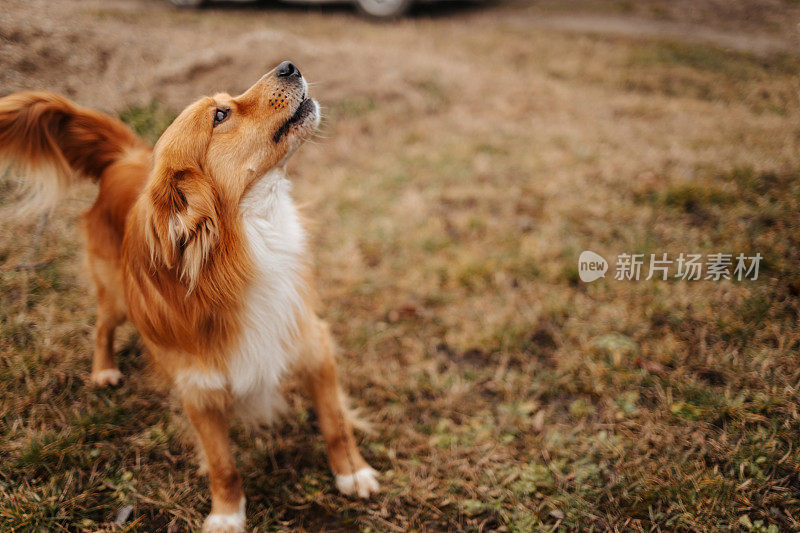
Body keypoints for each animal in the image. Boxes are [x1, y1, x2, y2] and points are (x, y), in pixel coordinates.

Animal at [0, 61, 380, 528]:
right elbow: (223, 466)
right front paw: (227, 516)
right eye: (220, 115)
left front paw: (352, 473)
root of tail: (127, 158)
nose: (288, 66)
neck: (248, 243)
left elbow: (335, 423)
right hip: (116, 298)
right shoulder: (198, 390)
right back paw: (104, 369)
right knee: (102, 327)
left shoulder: (312, 345)